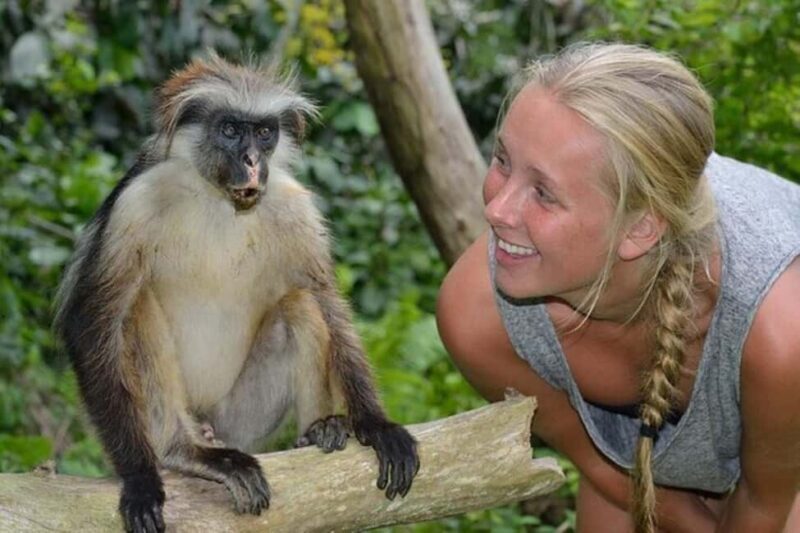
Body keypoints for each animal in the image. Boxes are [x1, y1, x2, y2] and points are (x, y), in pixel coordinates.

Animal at [54, 53, 419, 533]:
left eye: (264, 133)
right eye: (229, 129)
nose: (251, 159)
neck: (219, 200)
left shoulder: (293, 205)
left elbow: (327, 303)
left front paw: (376, 425)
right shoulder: (136, 201)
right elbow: (92, 322)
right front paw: (138, 477)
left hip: (241, 420)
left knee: (299, 303)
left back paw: (317, 432)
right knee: (136, 309)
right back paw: (185, 452)